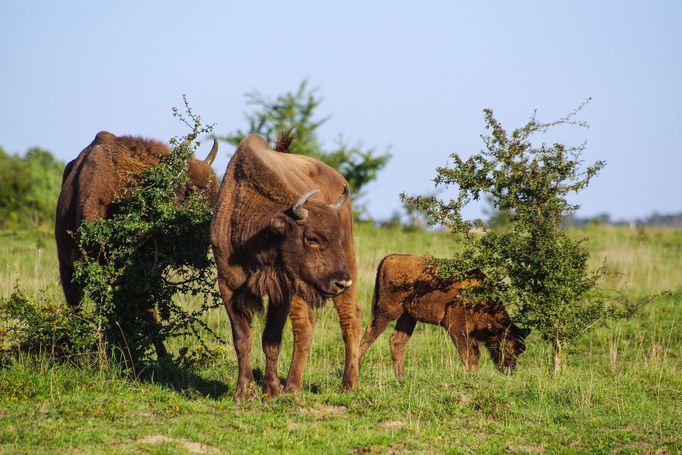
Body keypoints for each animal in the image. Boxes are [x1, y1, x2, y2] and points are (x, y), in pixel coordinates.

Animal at [210, 134, 362, 400]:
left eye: (338, 237)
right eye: (312, 239)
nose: (341, 282)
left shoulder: (282, 290)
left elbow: (271, 339)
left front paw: (270, 390)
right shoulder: (228, 284)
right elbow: (242, 338)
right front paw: (244, 392)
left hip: (348, 267)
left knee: (349, 321)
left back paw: (348, 384)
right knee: (307, 327)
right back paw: (293, 385)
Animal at [358, 255, 528, 376]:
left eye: (520, 350)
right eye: (506, 346)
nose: (509, 369)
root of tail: (388, 259)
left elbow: (474, 355)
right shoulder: (457, 330)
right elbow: (469, 356)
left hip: (408, 317)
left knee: (396, 341)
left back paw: (401, 377)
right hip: (387, 312)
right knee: (369, 332)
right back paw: (357, 368)